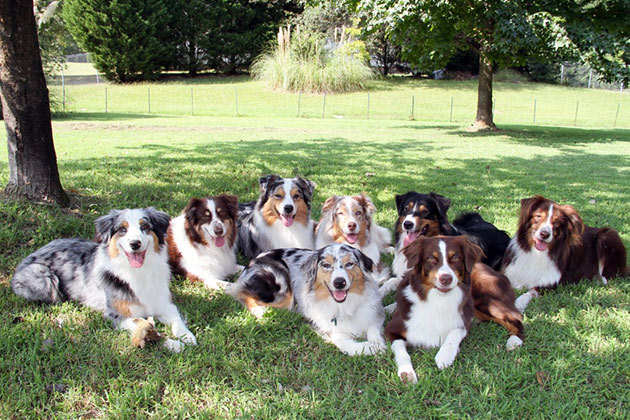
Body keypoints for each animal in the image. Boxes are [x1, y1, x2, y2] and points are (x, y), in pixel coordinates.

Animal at [388, 236, 524, 384]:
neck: (438, 300)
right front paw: (406, 372)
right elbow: (402, 352)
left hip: (485, 301)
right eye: (430, 258)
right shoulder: (393, 329)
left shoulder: (465, 320)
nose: (446, 279)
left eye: (456, 257)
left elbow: (454, 333)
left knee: (516, 317)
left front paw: (445, 355)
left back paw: (514, 340)